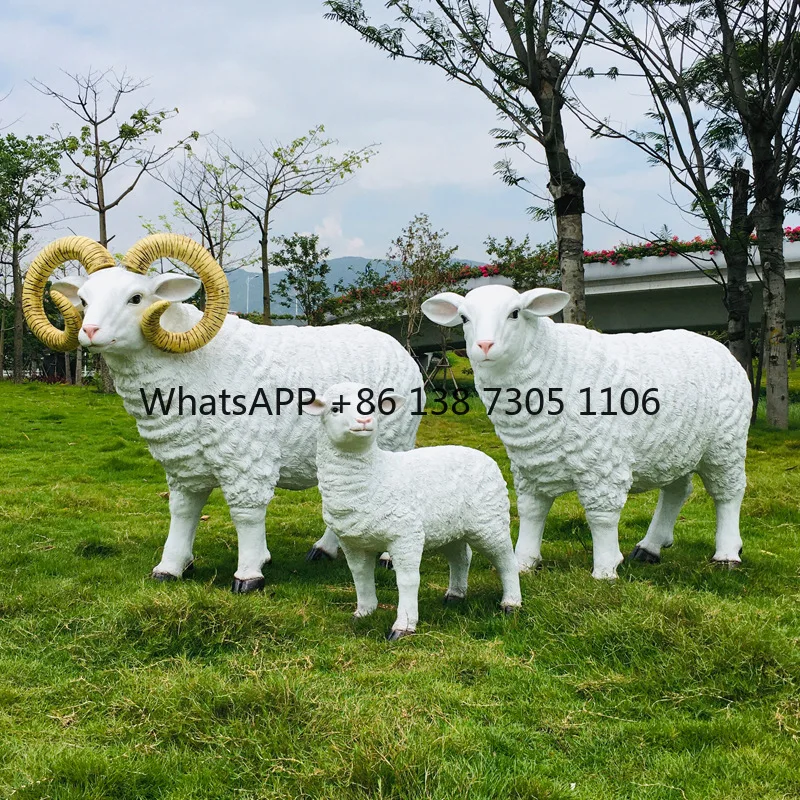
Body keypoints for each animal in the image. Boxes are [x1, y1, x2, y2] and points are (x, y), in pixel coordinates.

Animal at [23, 235, 423, 592]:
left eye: (136, 298)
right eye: (84, 300)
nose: (90, 332)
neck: (193, 367)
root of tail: (396, 346)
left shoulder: (246, 458)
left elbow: (246, 513)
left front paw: (249, 576)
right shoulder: (183, 463)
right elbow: (182, 513)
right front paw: (170, 568)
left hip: (394, 442)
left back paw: (385, 558)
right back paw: (324, 550)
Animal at [305, 381, 522, 640]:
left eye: (373, 406)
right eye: (335, 408)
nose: (364, 420)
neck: (374, 474)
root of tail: (482, 455)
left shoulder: (406, 535)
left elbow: (407, 580)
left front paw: (403, 626)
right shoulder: (351, 541)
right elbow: (359, 575)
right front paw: (363, 612)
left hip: (489, 519)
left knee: (505, 559)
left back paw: (511, 604)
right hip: (450, 527)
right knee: (461, 556)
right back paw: (455, 595)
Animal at [421, 285, 751, 580]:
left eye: (514, 313)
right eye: (464, 318)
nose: (484, 346)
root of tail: (720, 349)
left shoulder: (603, 463)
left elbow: (601, 517)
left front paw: (605, 570)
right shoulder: (530, 463)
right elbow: (531, 512)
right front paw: (523, 563)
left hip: (726, 442)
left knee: (729, 493)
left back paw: (727, 554)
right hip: (676, 445)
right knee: (676, 491)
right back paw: (650, 548)